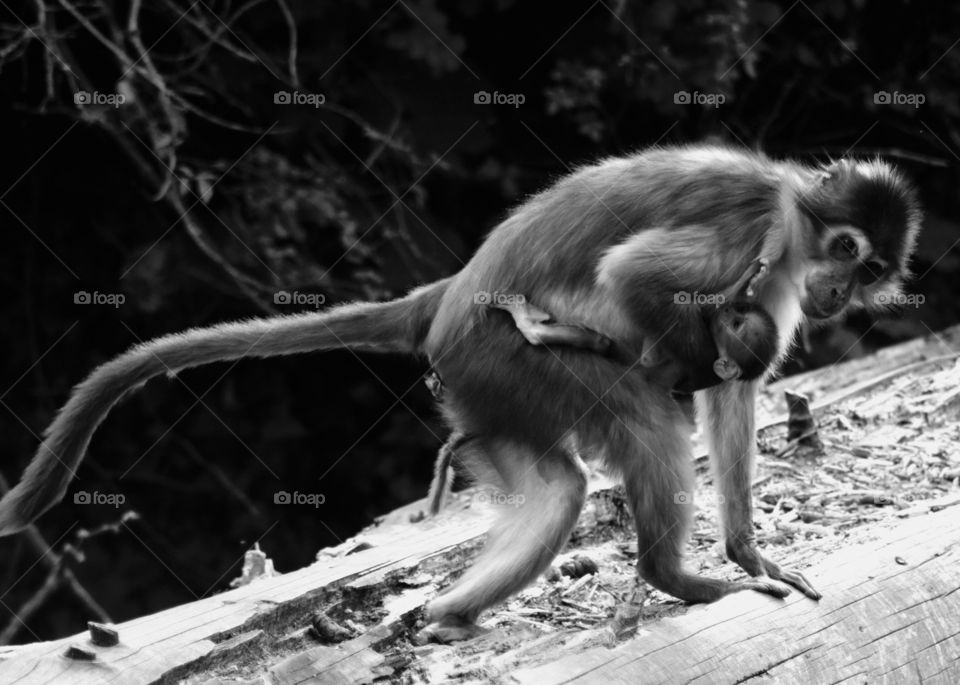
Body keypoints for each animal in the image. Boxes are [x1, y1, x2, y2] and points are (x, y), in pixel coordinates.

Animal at [0, 145, 920, 645]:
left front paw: (748, 551)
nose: (846, 289)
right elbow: (636, 280)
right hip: (498, 353)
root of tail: (446, 298)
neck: (792, 214)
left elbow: (738, 382)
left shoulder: (779, 287)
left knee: (557, 489)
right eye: (847, 248)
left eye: (872, 267)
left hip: (483, 391)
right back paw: (672, 574)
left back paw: (446, 613)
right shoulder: (754, 234)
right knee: (642, 417)